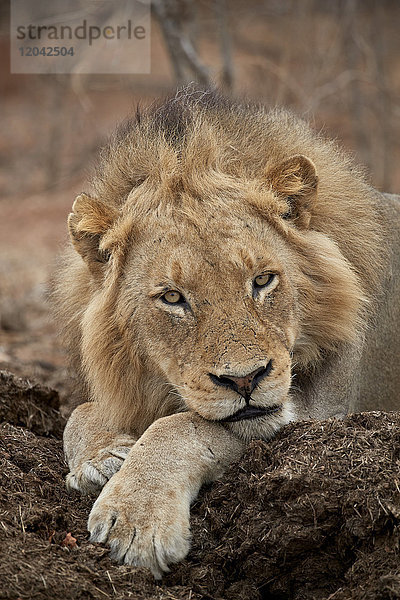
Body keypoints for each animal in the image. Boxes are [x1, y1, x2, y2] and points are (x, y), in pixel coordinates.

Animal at [53, 88, 400, 576]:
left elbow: (184, 425)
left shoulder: (322, 411)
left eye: (263, 280)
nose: (245, 380)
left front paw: (135, 515)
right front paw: (103, 457)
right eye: (173, 297)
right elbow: (79, 412)